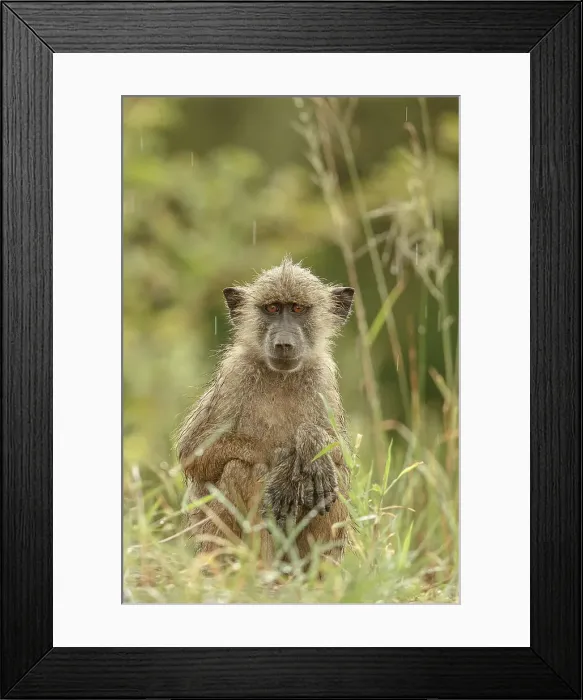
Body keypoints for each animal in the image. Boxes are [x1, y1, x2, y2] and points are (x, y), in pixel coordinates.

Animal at [176, 256, 354, 565]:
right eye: (272, 308)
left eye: (297, 309)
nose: (283, 343)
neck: (281, 377)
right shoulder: (234, 375)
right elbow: (193, 453)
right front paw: (283, 461)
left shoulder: (323, 377)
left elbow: (342, 455)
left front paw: (309, 442)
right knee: (239, 468)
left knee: (335, 479)